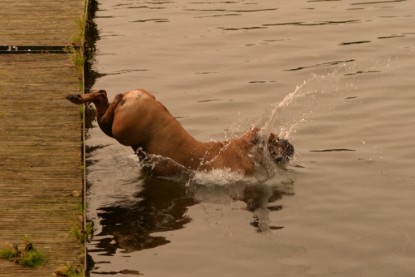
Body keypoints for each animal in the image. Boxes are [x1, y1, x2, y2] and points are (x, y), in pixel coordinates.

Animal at [66, 89, 294, 177]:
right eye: (274, 140)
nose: (291, 146)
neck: (244, 149)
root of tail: (139, 94)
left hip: (118, 127)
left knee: (102, 97)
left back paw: (79, 97)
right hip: (122, 131)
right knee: (108, 103)